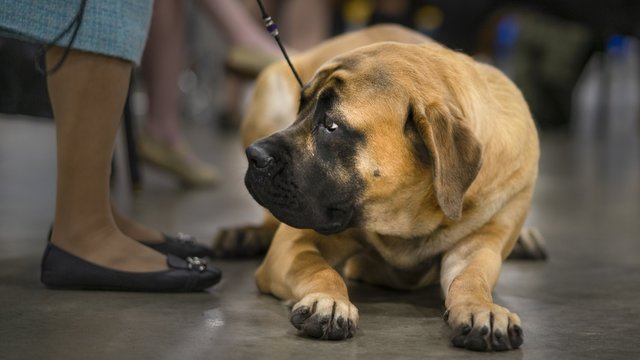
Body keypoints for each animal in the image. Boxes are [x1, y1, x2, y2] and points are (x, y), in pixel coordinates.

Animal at [238, 23, 536, 350]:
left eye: (331, 125)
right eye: (301, 107)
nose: (255, 156)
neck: (409, 216)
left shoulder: (479, 245)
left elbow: (471, 278)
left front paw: (482, 308)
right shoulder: (294, 241)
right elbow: (319, 269)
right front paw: (327, 301)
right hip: (270, 87)